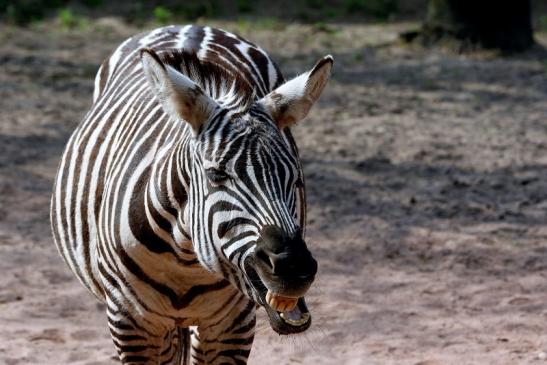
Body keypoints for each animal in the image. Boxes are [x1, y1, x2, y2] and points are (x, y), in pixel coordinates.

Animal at [52, 24, 334, 362]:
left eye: (296, 180)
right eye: (216, 175)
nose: (293, 267)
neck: (185, 263)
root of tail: (192, 27)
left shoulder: (232, 325)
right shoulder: (130, 321)